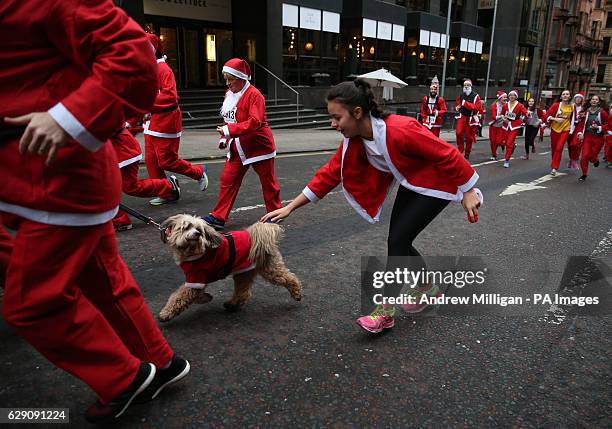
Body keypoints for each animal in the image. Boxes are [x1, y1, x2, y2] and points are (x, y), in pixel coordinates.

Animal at [158, 214, 302, 320]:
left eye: (199, 230)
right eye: (186, 227)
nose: (197, 234)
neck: (193, 251)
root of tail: (256, 234)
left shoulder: (196, 278)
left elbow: (179, 297)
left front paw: (165, 313)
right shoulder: (197, 280)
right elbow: (194, 294)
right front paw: (206, 297)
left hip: (269, 268)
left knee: (289, 278)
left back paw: (297, 293)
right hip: (244, 272)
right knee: (243, 292)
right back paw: (232, 304)